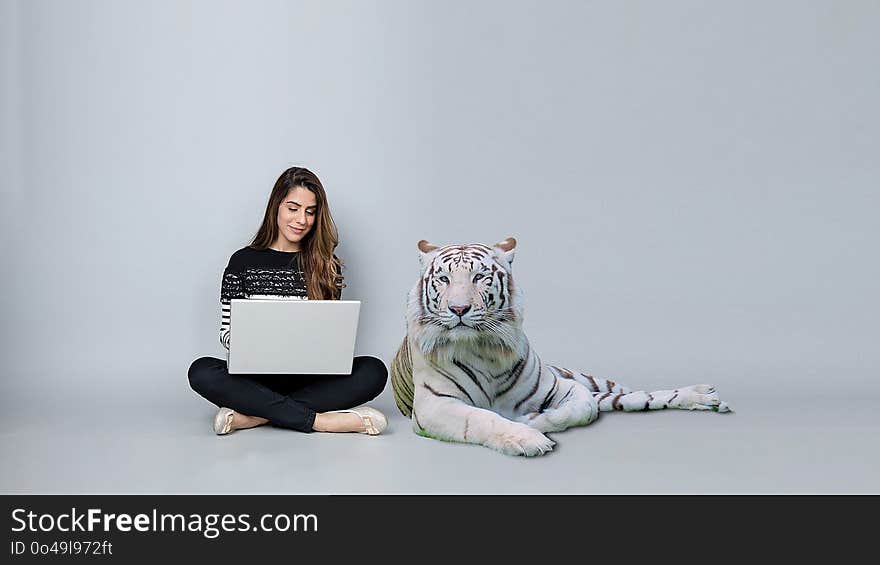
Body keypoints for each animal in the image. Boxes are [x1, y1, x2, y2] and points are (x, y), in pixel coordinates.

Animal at [390, 236, 728, 456]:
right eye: (444, 279)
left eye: (480, 277)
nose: (458, 309)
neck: (485, 348)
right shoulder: (434, 404)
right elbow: (483, 417)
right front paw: (526, 437)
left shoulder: (562, 387)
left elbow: (583, 407)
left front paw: (532, 421)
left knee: (628, 396)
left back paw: (705, 396)